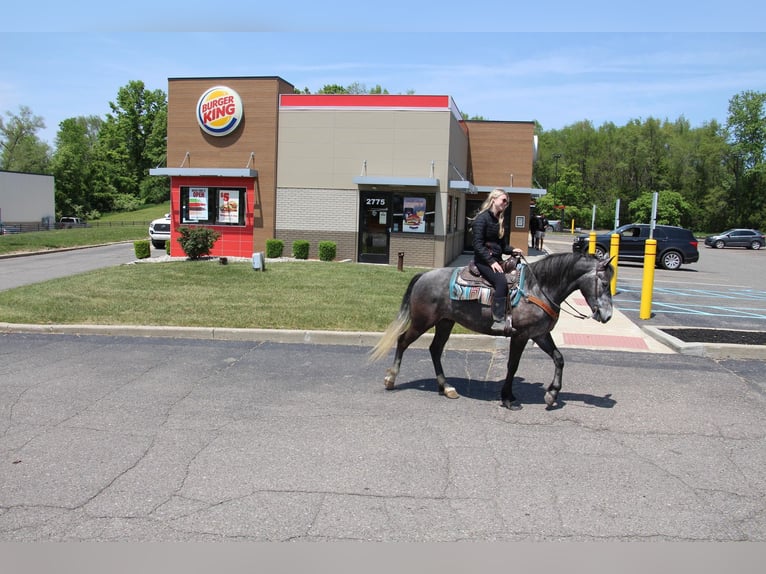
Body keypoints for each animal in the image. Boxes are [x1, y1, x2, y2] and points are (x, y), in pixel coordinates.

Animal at [372, 254, 616, 412]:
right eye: (604, 283)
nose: (607, 316)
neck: (538, 288)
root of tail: (422, 276)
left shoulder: (539, 334)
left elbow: (559, 358)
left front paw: (551, 394)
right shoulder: (521, 335)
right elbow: (512, 365)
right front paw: (507, 398)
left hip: (445, 322)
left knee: (435, 349)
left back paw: (447, 387)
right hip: (422, 321)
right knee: (402, 341)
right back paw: (391, 379)